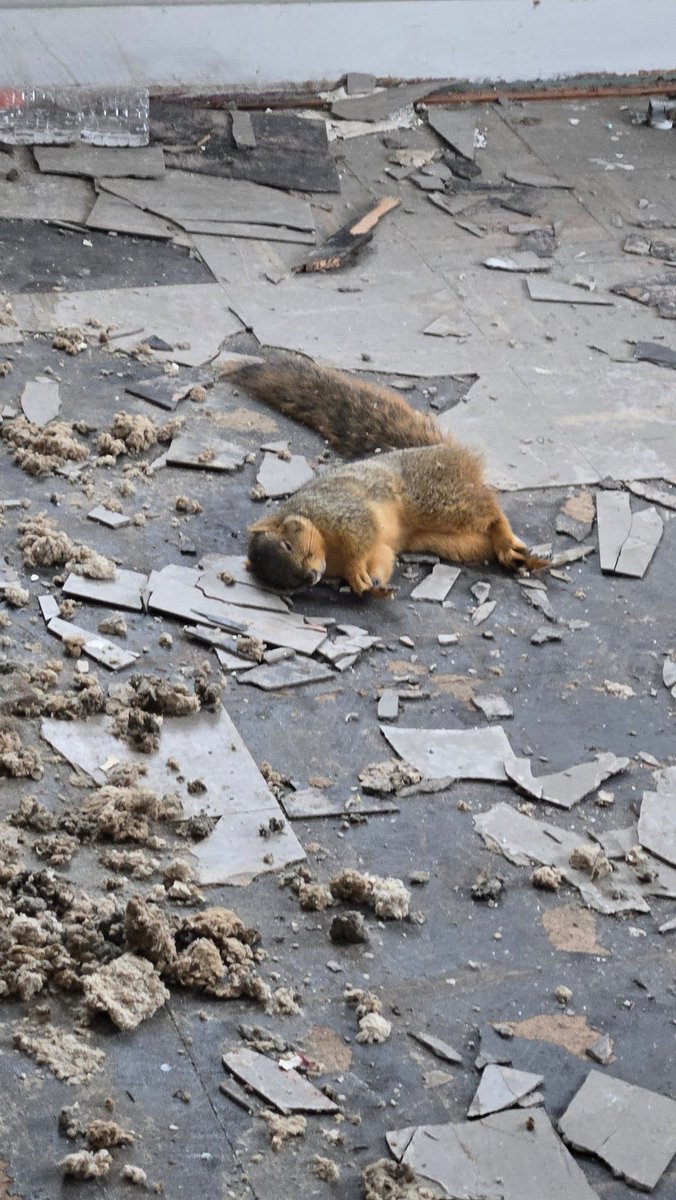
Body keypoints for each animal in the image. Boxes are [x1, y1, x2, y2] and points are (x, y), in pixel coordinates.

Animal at [222, 356, 548, 597]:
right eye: (288, 583)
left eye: (288, 545)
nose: (311, 577)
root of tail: (440, 449)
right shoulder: (377, 546)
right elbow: (380, 558)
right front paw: (372, 586)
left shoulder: (345, 513)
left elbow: (358, 544)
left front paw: (356, 572)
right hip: (451, 540)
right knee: (484, 535)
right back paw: (517, 556)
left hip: (437, 499)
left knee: (491, 511)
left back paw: (506, 538)